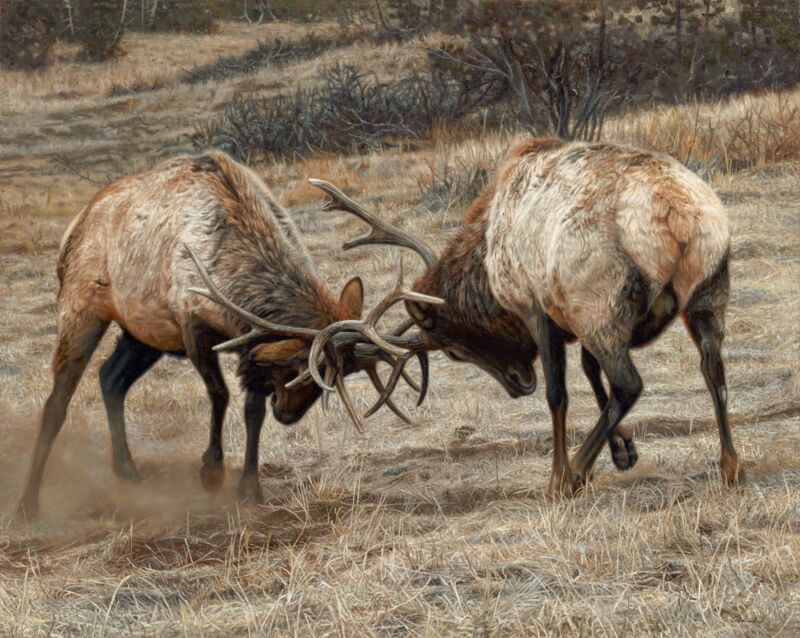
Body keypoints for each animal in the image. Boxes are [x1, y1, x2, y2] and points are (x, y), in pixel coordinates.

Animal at [18, 151, 441, 520]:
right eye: (300, 369)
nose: (288, 414)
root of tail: (74, 226)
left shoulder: (246, 341)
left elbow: (252, 410)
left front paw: (250, 487)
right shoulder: (192, 325)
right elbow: (219, 394)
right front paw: (211, 471)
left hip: (143, 334)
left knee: (111, 378)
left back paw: (128, 472)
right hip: (81, 306)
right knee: (57, 401)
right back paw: (28, 504)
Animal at [296, 136, 743, 495]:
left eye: (453, 349)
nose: (518, 384)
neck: (488, 263)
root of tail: (679, 217)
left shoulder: (539, 309)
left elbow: (559, 394)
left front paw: (561, 474)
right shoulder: (571, 316)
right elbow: (589, 373)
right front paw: (623, 452)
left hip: (602, 300)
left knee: (629, 383)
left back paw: (574, 472)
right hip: (706, 293)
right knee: (712, 369)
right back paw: (730, 465)